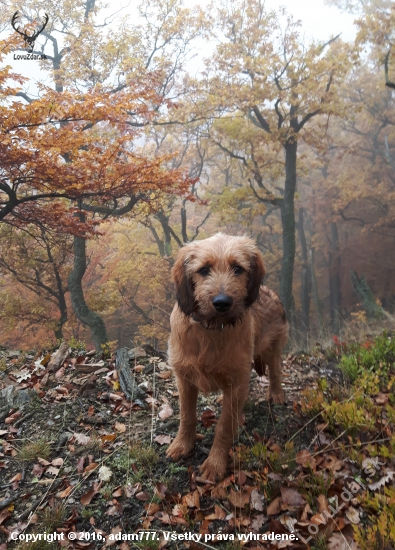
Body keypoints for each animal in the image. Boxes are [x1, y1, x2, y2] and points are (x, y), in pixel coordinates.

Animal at [166, 234, 288, 484]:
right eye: (203, 269)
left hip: (272, 348)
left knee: (275, 371)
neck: (211, 328)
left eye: (238, 268)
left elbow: (224, 427)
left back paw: (276, 394)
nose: (222, 302)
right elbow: (186, 416)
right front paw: (182, 445)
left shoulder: (237, 379)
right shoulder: (184, 380)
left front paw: (215, 464)